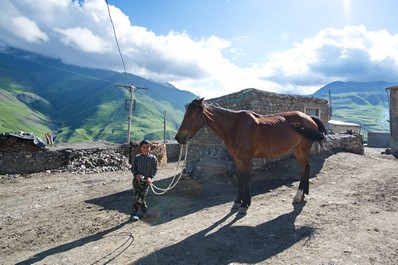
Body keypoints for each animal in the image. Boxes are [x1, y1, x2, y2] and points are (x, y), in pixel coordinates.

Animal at [174, 98, 326, 213]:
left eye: (192, 115)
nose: (178, 138)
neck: (235, 127)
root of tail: (309, 117)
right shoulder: (237, 158)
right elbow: (241, 177)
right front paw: (237, 202)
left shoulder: (246, 158)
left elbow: (246, 178)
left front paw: (245, 204)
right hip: (298, 150)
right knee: (306, 168)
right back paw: (304, 194)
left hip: (302, 150)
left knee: (303, 169)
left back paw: (298, 196)